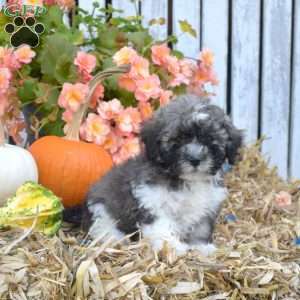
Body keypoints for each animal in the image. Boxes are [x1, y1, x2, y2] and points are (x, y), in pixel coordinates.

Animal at [81, 94, 243, 255]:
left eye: (209, 139)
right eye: (177, 140)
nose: (195, 159)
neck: (187, 180)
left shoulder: (207, 206)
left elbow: (201, 228)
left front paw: (201, 247)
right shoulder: (152, 200)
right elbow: (161, 227)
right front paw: (171, 247)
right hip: (101, 208)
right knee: (101, 225)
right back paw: (113, 238)